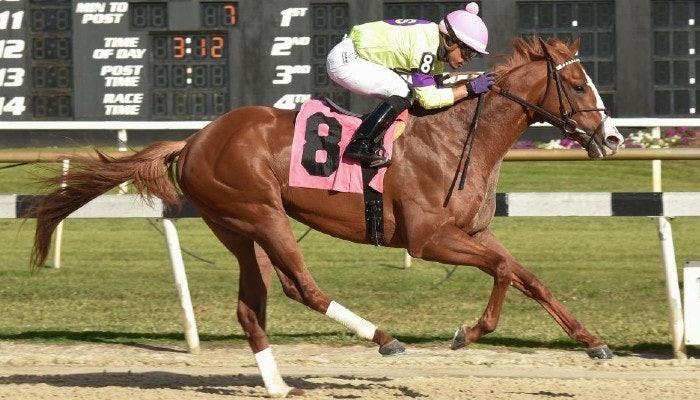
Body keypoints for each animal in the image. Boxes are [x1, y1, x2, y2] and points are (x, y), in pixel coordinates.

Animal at [31, 36, 622, 398]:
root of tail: (194, 139)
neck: (457, 138)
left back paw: (277, 385)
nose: (613, 138)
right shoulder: (429, 238)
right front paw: (466, 332)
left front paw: (593, 341)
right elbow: (501, 273)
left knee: (252, 306)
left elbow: (529, 277)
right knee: (302, 287)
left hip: (237, 228)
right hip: (261, 214)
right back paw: (384, 337)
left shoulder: (475, 231)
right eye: (576, 85)